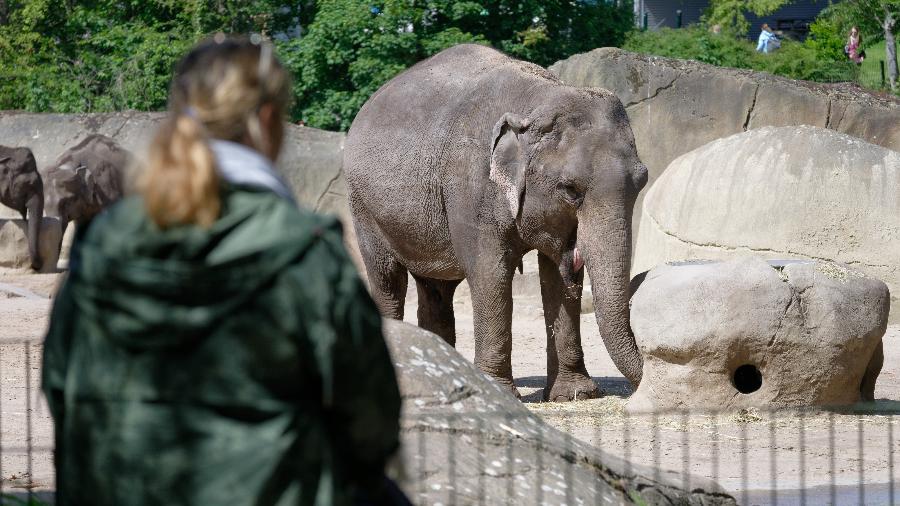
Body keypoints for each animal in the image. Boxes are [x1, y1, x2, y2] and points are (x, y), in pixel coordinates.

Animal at [344, 44, 648, 400]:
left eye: (642, 181)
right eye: (570, 189)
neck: (536, 99)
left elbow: (555, 280)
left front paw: (576, 394)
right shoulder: (469, 184)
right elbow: (490, 272)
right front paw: (500, 391)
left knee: (436, 291)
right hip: (363, 205)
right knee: (387, 280)